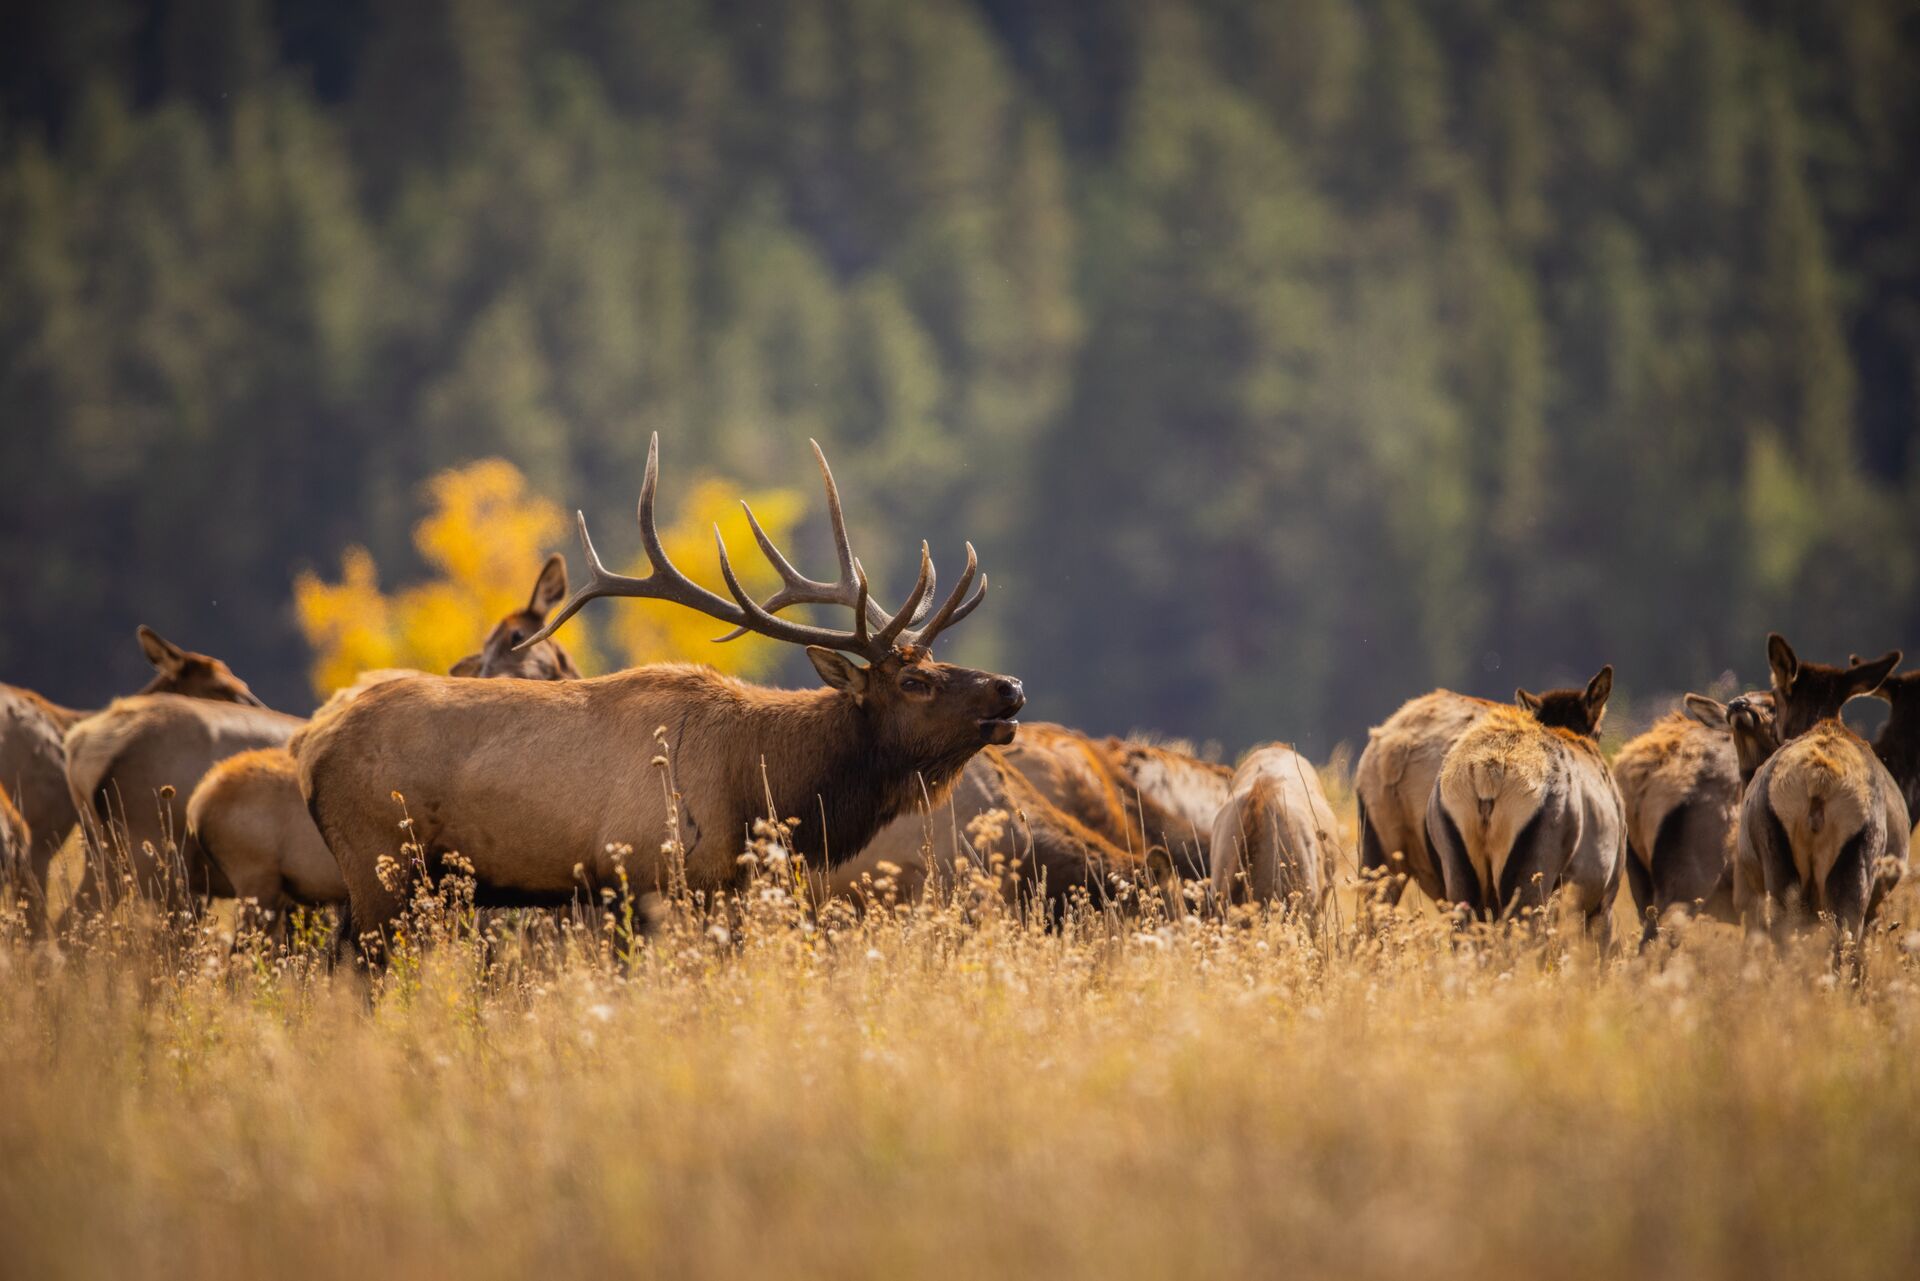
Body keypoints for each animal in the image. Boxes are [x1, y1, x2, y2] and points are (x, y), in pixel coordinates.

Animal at [296, 435, 1025, 960]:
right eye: (914, 681)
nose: (1011, 687)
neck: (757, 784)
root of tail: (309, 744)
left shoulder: (721, 888)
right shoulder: (647, 874)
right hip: (380, 861)